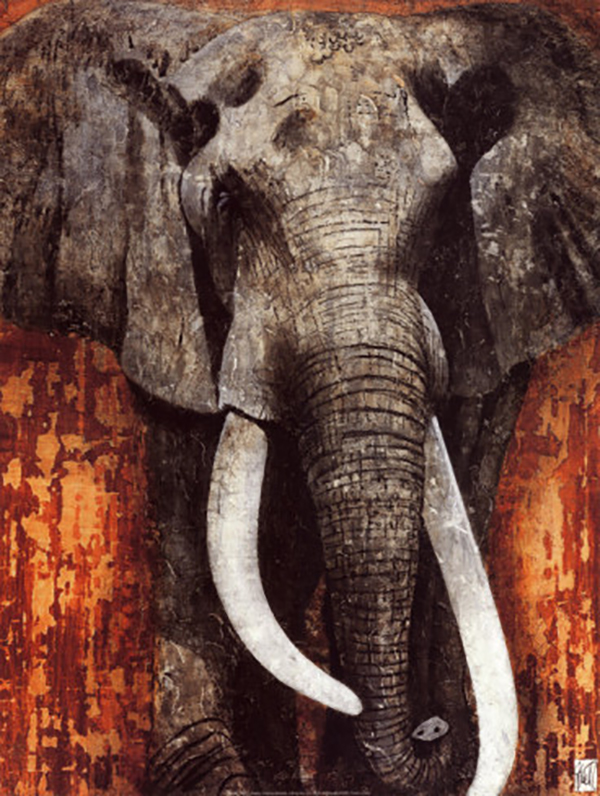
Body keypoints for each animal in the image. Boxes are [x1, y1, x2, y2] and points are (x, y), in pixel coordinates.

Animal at [1, 1, 600, 793]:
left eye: (447, 203)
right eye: (225, 201)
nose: (435, 727)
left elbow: (466, 464)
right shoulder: (162, 282)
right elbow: (197, 494)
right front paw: (218, 772)